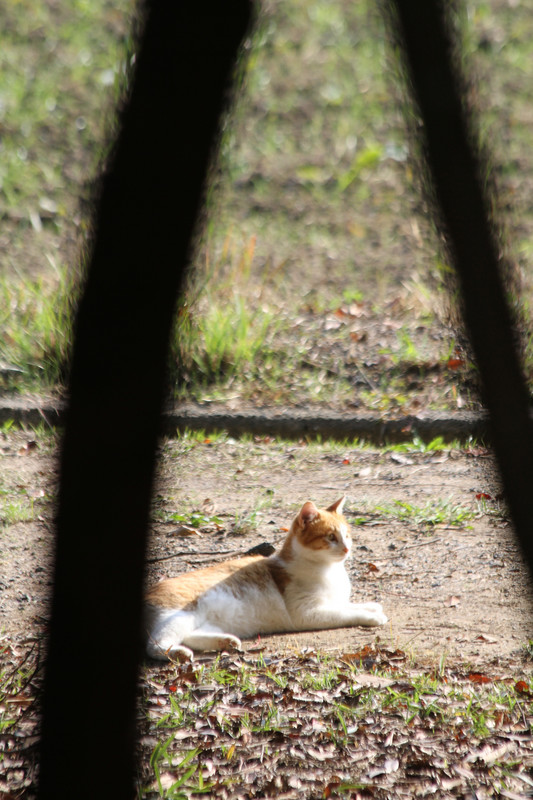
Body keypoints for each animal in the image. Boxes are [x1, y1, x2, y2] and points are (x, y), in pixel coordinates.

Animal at [144, 494, 386, 664]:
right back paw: (179, 653)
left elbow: (348, 605)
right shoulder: (307, 613)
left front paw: (372, 607)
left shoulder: (333, 601)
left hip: (204, 621)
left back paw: (226, 641)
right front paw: (371, 616)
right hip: (180, 615)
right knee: (154, 645)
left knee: (191, 635)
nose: (346, 548)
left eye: (347, 536)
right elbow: (345, 612)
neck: (330, 571)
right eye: (331, 537)